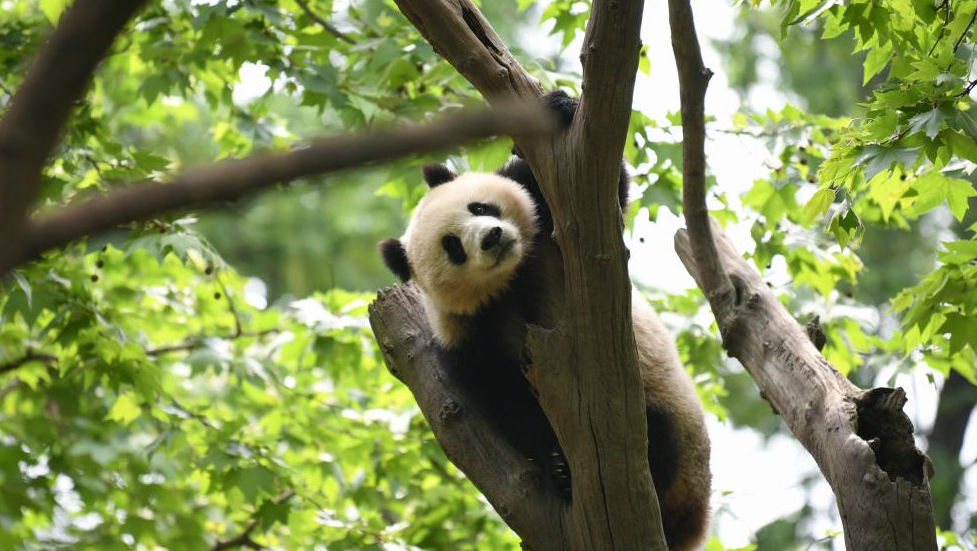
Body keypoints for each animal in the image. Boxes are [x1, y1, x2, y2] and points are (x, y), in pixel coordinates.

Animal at [380, 91, 708, 551]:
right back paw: (567, 476)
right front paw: (554, 465)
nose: (492, 237)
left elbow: (606, 194)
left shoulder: (551, 222)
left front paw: (560, 107)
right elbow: (507, 401)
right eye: (453, 247)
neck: (514, 277)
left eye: (479, 207)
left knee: (656, 433)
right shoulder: (469, 336)